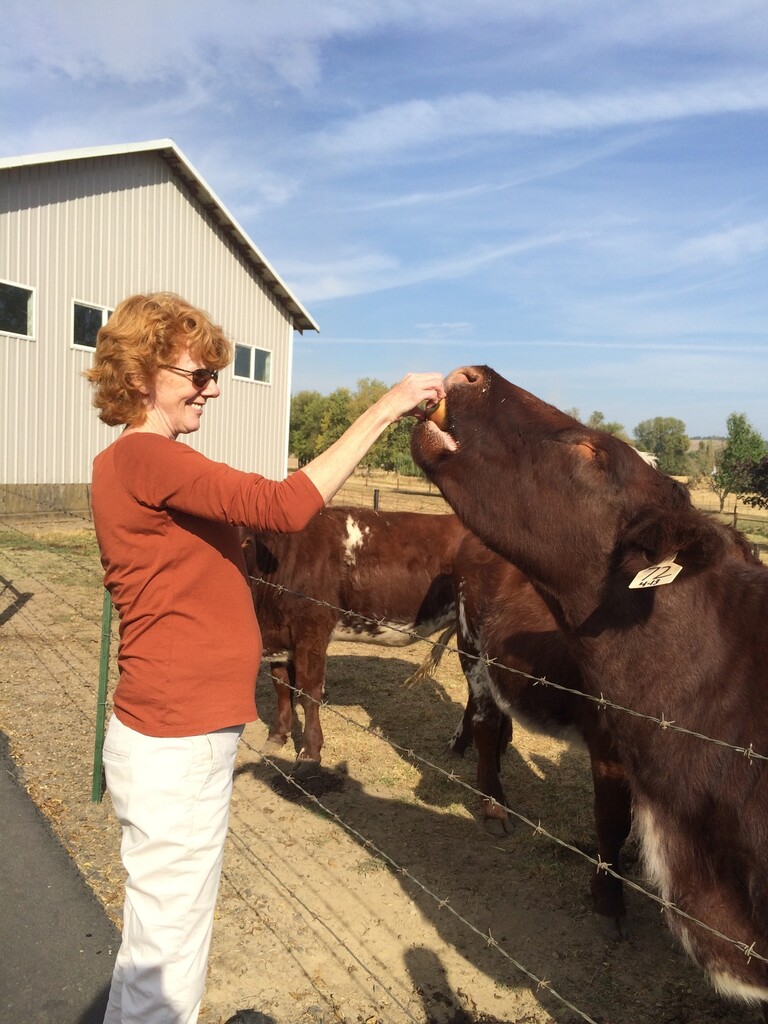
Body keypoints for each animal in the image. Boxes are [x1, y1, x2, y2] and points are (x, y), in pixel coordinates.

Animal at [241, 506, 468, 764]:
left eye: (245, 541)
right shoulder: (280, 638)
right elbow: (281, 687)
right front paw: (278, 736)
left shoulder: (312, 634)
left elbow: (308, 693)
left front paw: (310, 752)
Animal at [449, 530, 632, 931]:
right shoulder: (610, 749)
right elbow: (613, 820)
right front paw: (608, 897)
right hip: (471, 649)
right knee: (485, 724)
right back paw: (494, 806)